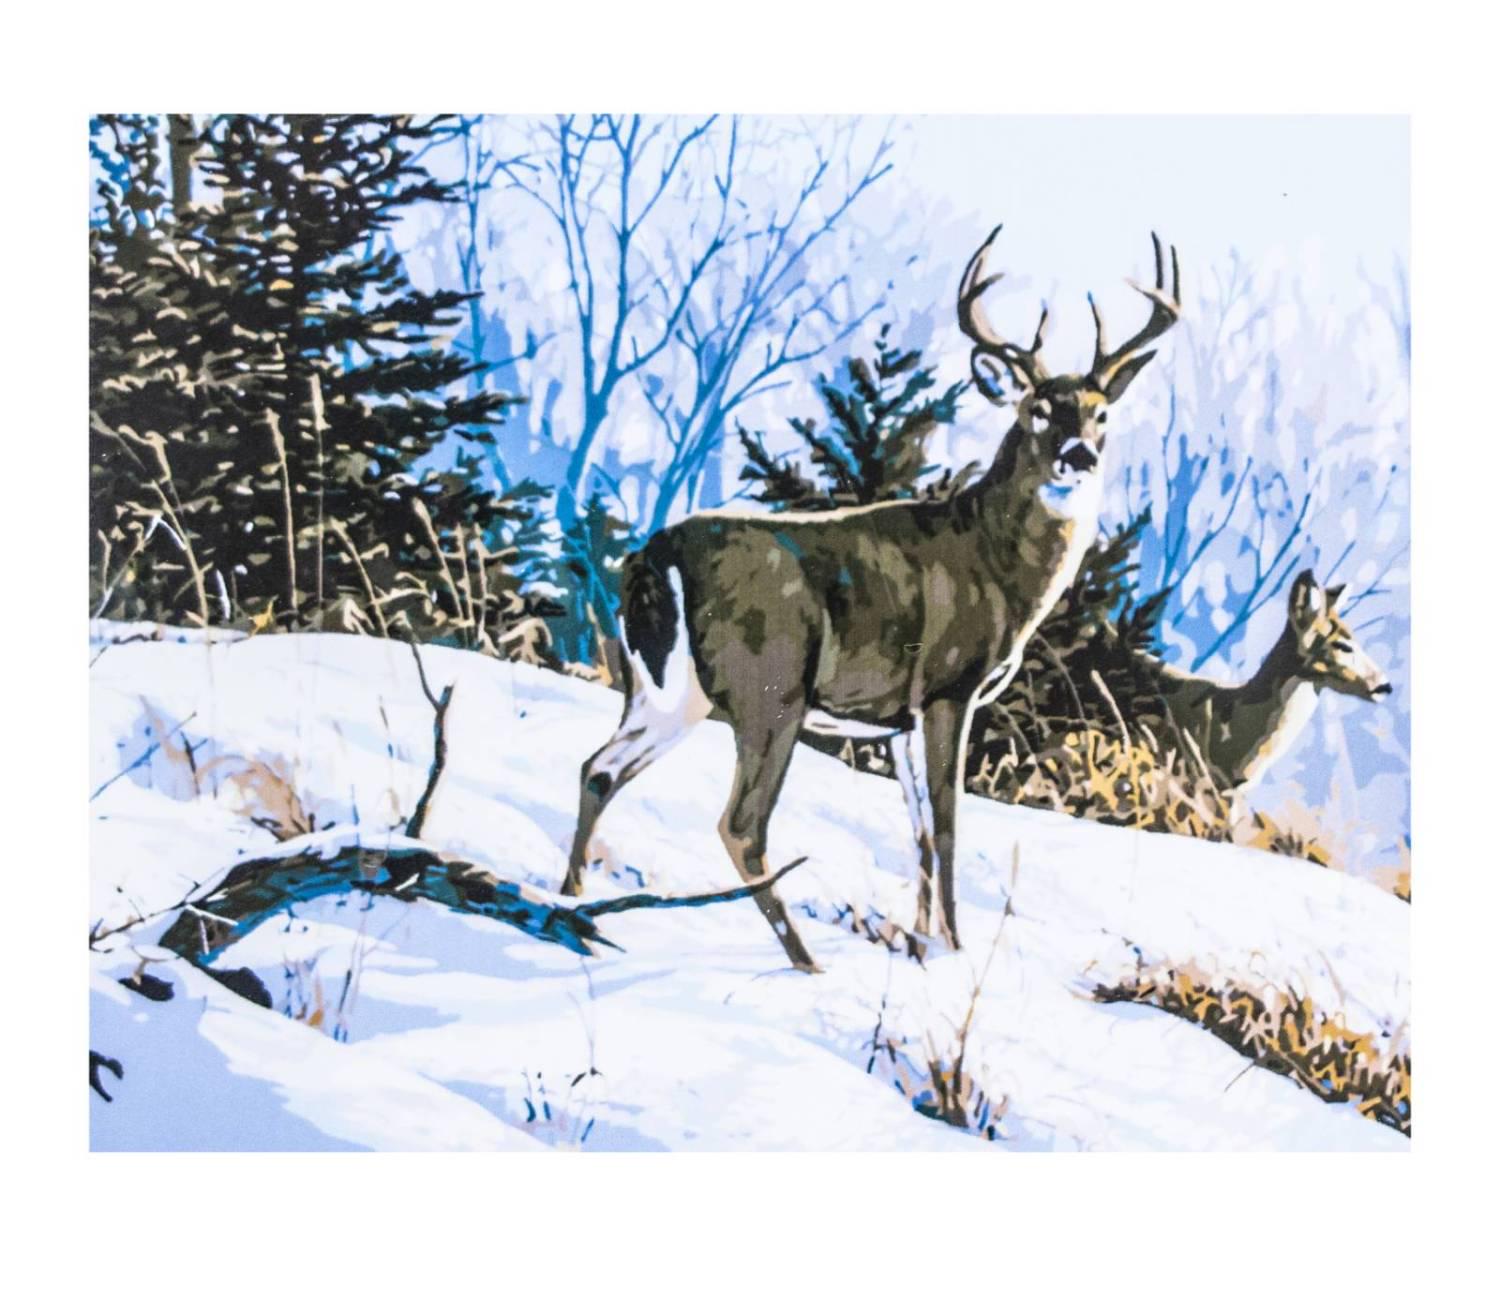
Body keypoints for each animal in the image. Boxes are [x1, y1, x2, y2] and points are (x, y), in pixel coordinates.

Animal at [560, 224, 1182, 971]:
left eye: (1101, 413)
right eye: (1037, 410)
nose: (1079, 455)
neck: (999, 566)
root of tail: (656, 554)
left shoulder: (898, 719)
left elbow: (918, 832)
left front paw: (921, 944)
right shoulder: (948, 687)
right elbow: (947, 824)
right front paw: (956, 949)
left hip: (668, 690)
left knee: (597, 767)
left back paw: (569, 898)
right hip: (770, 684)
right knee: (740, 824)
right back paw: (805, 961)